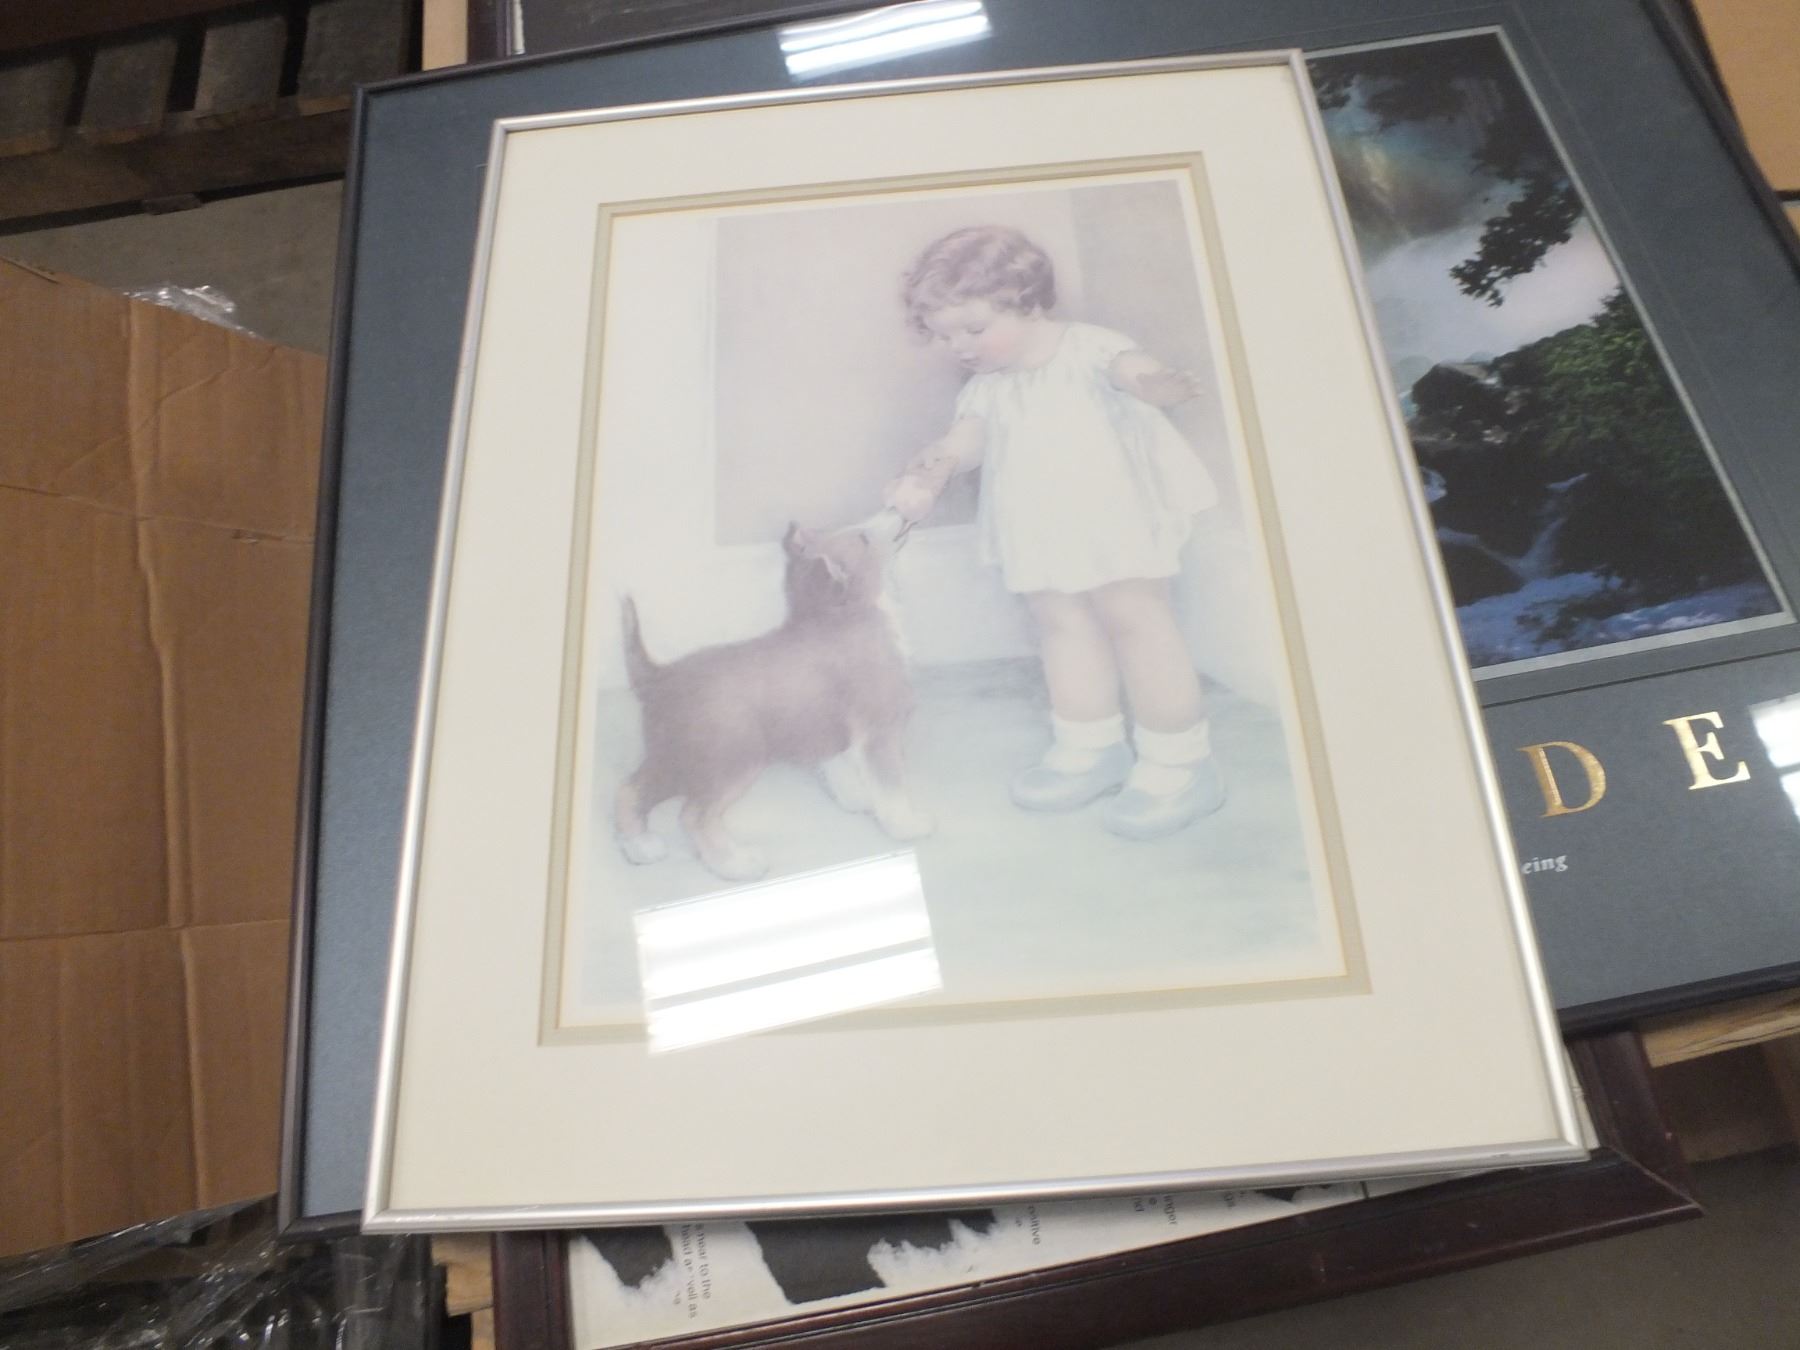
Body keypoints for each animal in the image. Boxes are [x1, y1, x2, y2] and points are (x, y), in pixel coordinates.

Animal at [614, 510, 931, 881]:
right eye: (863, 537)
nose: (898, 511)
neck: (844, 616)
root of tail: (660, 675)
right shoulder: (880, 731)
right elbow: (892, 787)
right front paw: (908, 826)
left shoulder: (831, 732)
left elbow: (843, 772)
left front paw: (858, 800)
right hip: (730, 763)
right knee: (694, 815)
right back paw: (737, 865)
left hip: (674, 760)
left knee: (629, 791)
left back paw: (641, 847)